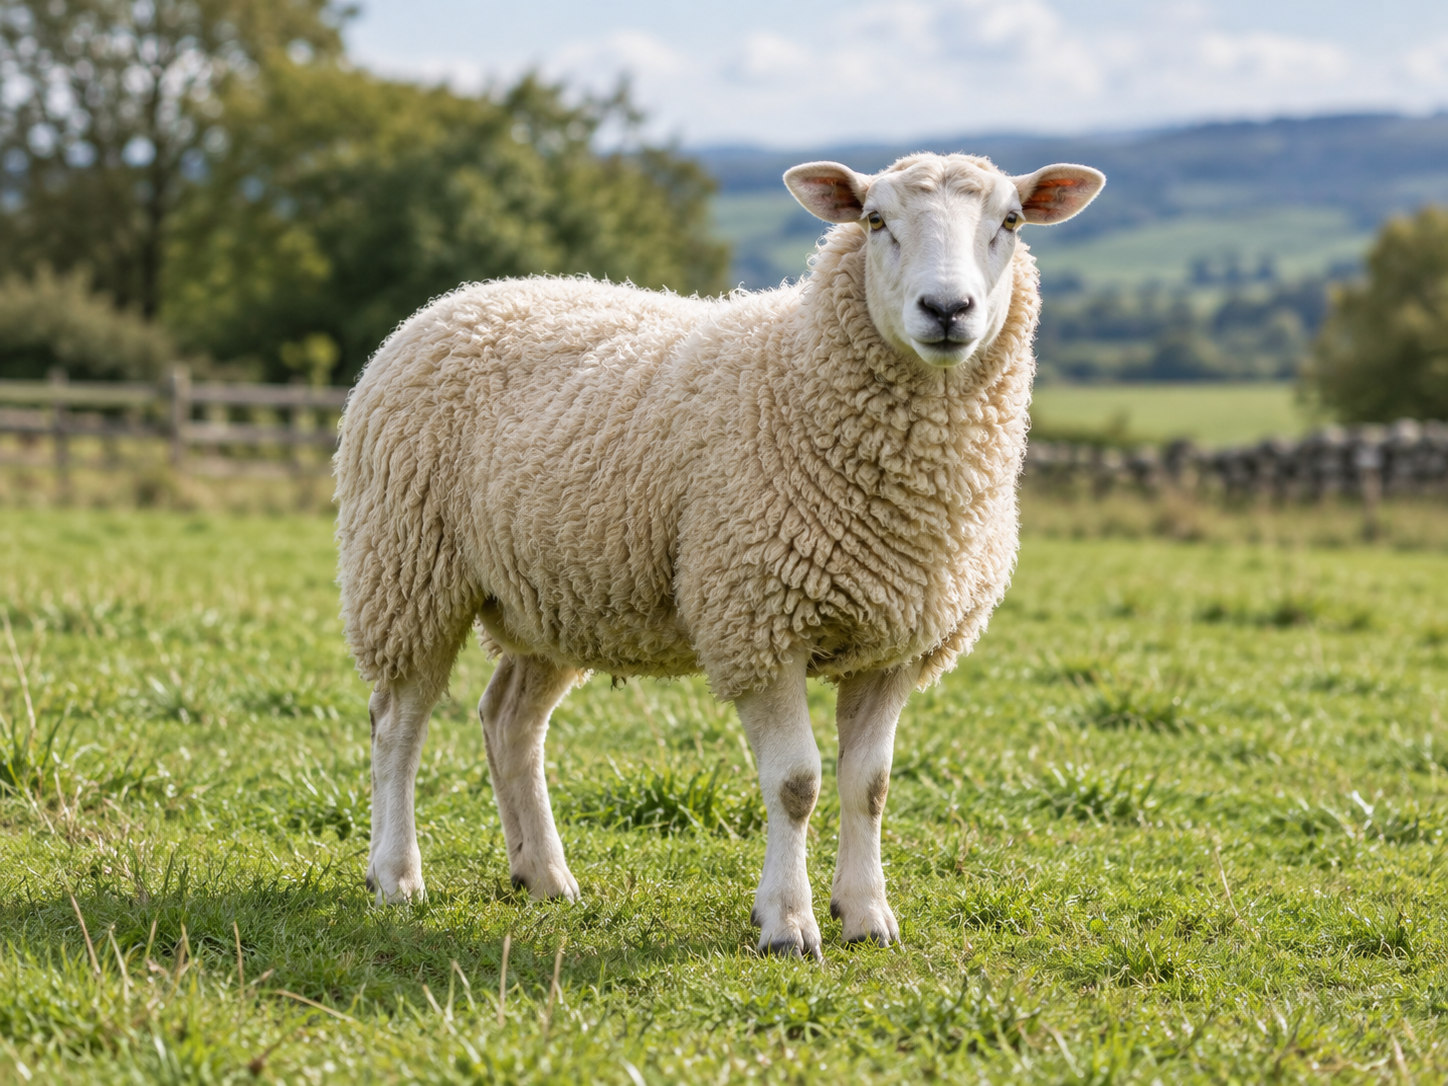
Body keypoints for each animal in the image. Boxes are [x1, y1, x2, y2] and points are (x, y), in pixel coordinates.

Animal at [334, 152, 1104, 959]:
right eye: (874, 220)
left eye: (1010, 221)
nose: (948, 309)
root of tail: (459, 299)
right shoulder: (758, 622)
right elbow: (797, 784)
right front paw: (787, 924)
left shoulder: (896, 643)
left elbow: (870, 785)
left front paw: (866, 916)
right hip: (406, 568)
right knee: (398, 721)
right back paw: (396, 875)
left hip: (554, 592)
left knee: (509, 720)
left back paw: (543, 876)